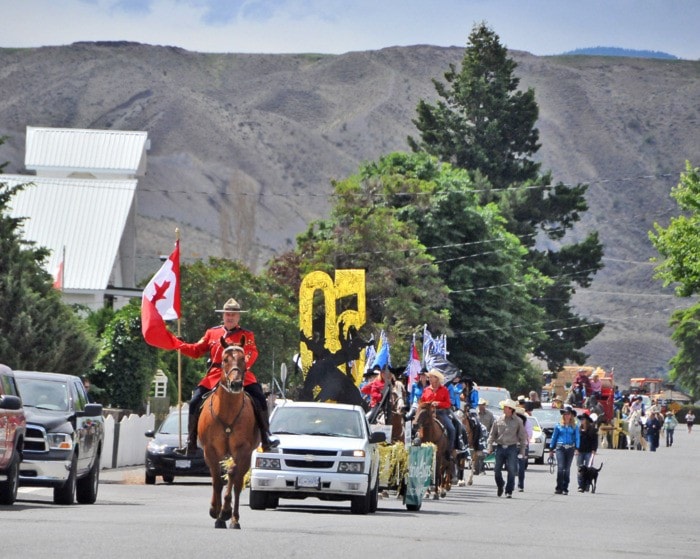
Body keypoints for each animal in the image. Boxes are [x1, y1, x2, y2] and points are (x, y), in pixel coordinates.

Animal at [197, 346, 260, 528]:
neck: (228, 410)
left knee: (236, 481)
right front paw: (215, 509)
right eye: (225, 359)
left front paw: (225, 511)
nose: (236, 384)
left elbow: (233, 477)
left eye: (243, 359)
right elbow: (216, 479)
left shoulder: (243, 450)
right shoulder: (210, 450)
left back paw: (232, 518)